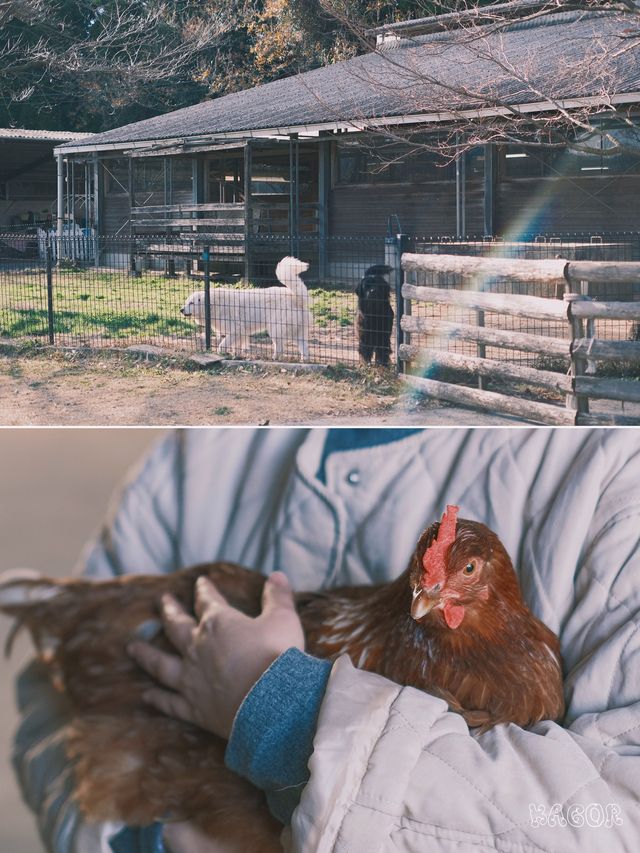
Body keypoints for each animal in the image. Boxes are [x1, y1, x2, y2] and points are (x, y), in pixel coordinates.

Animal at [181, 253, 312, 360]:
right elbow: (236, 347)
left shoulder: (235, 330)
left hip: (275, 329)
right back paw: (304, 360)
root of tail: (296, 297)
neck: (213, 304)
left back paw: (275, 358)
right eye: (187, 302)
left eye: (192, 303)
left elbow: (223, 344)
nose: (181, 310)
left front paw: (221, 352)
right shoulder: (239, 333)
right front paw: (236, 355)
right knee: (304, 347)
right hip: (297, 332)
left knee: (280, 347)